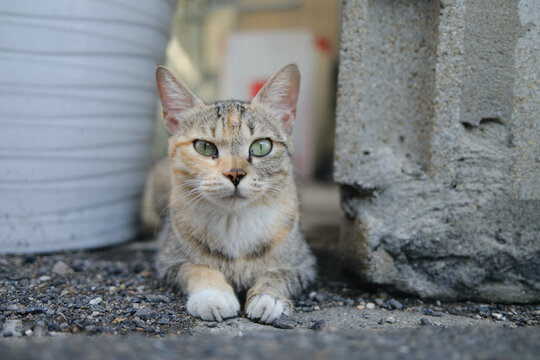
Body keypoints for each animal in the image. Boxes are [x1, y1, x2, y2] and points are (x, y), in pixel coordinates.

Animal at [153, 62, 316, 324]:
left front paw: (268, 298)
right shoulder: (169, 260)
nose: (235, 174)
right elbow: (197, 268)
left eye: (261, 146)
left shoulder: (303, 263)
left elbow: (278, 273)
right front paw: (213, 296)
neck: (235, 222)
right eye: (204, 146)